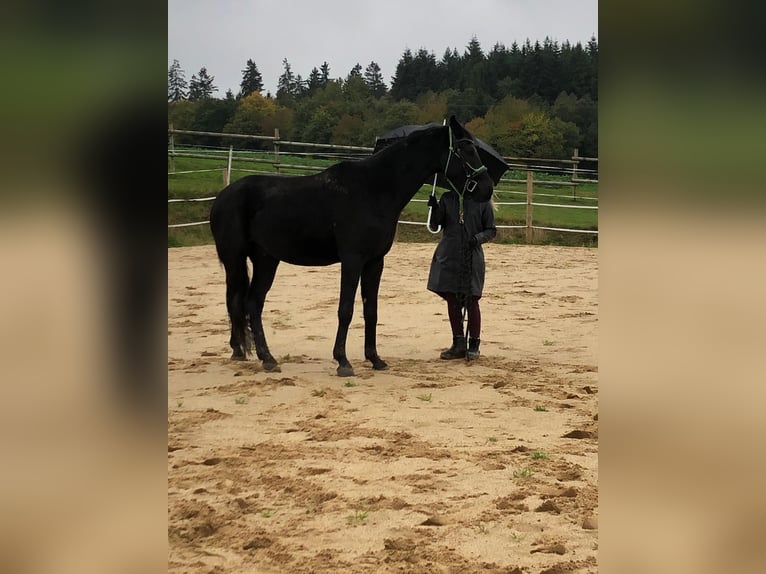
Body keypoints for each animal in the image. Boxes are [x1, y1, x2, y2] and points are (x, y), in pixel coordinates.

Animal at [209, 115, 494, 377]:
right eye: (464, 149)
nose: (487, 188)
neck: (373, 190)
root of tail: (223, 196)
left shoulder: (374, 262)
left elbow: (371, 310)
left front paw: (375, 359)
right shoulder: (352, 259)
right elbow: (346, 309)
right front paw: (343, 362)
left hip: (266, 259)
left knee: (252, 303)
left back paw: (256, 355)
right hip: (236, 260)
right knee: (240, 302)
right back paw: (262, 357)